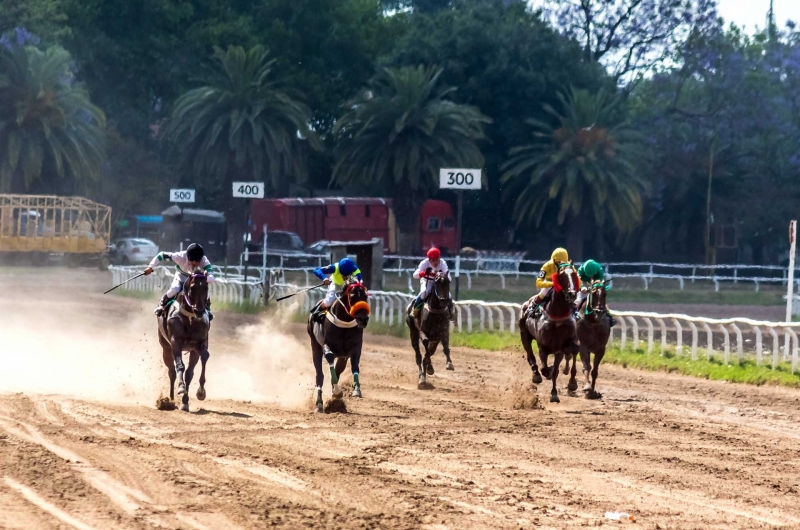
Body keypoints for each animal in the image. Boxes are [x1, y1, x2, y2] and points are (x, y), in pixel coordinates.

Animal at [156, 266, 211, 410]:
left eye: (206, 287)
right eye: (192, 287)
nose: (199, 310)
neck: (190, 317)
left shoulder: (199, 343)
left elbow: (204, 357)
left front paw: (201, 392)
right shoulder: (175, 342)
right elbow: (180, 366)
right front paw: (180, 388)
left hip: (192, 351)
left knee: (189, 373)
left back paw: (185, 401)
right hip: (165, 347)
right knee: (172, 372)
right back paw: (170, 399)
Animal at [304, 278, 370, 410]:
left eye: (365, 296)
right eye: (352, 296)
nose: (363, 319)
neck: (344, 322)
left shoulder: (355, 348)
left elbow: (355, 365)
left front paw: (356, 389)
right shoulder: (326, 345)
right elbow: (329, 358)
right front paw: (337, 392)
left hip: (342, 356)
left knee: (339, 370)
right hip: (315, 345)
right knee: (320, 375)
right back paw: (319, 403)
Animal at [520, 262, 580, 402]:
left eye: (574, 275)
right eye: (561, 275)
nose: (572, 294)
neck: (557, 316)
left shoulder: (561, 349)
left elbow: (556, 371)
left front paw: (555, 393)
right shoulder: (543, 347)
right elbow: (545, 368)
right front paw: (545, 373)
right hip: (524, 334)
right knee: (530, 355)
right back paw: (536, 375)